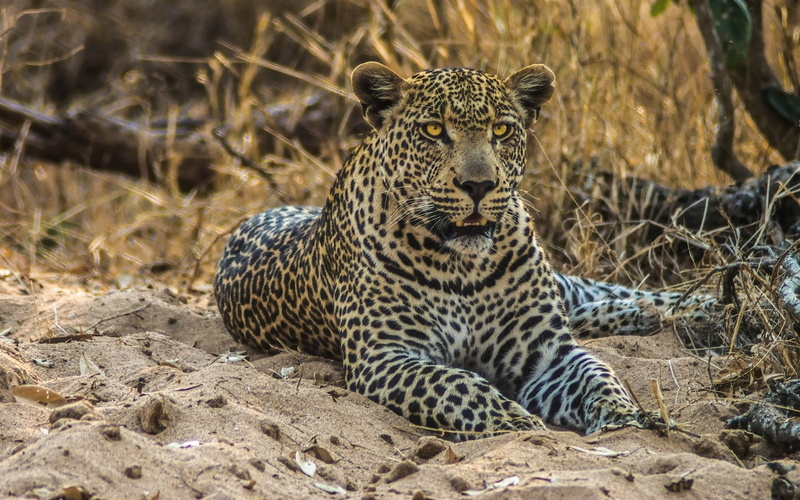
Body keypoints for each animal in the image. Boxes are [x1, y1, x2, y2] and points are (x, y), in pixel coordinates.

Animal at [214, 62, 712, 439]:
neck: (462, 266)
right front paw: (515, 421)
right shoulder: (386, 356)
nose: (479, 185)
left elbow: (597, 373)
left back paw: (692, 305)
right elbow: (455, 384)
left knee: (593, 293)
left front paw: (623, 414)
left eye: (502, 130)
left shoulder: (548, 352)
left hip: (562, 284)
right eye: (434, 130)